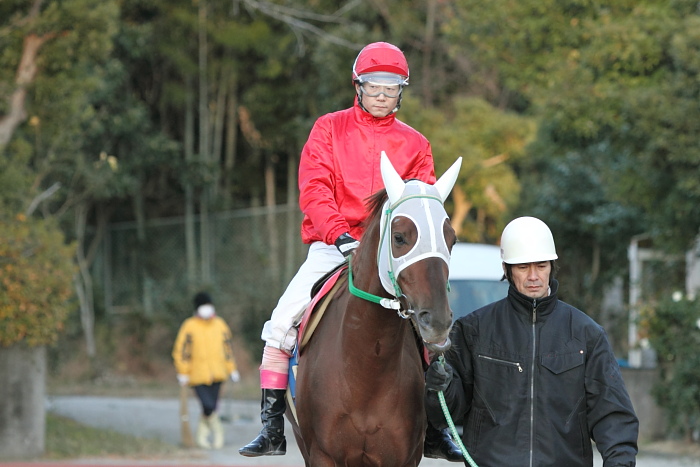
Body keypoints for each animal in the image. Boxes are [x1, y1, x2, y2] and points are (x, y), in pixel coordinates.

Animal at [288, 154, 460, 467]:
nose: (438, 321)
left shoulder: (404, 457)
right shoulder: (322, 454)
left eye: (451, 239)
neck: (366, 371)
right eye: (400, 237)